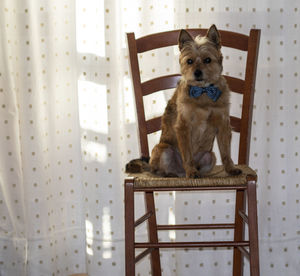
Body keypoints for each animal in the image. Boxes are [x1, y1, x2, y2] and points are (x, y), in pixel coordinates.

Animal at [126, 24, 241, 178]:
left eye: (207, 60)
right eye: (189, 61)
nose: (197, 73)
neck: (203, 91)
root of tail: (181, 173)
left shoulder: (223, 124)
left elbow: (226, 153)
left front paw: (231, 169)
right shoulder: (184, 126)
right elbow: (187, 154)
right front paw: (191, 171)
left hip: (210, 156)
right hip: (165, 150)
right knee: (161, 169)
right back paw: (174, 173)